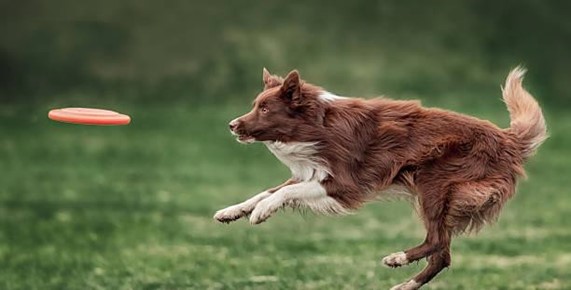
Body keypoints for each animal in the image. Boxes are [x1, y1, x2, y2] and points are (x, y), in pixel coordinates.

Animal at [214, 67, 548, 288]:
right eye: (255, 105)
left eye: (265, 109)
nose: (231, 125)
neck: (318, 125)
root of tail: (508, 139)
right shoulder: (312, 171)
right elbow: (267, 191)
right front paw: (232, 211)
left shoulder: (342, 184)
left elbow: (280, 194)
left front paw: (260, 212)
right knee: (443, 255)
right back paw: (406, 284)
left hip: (433, 183)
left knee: (437, 241)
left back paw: (398, 258)